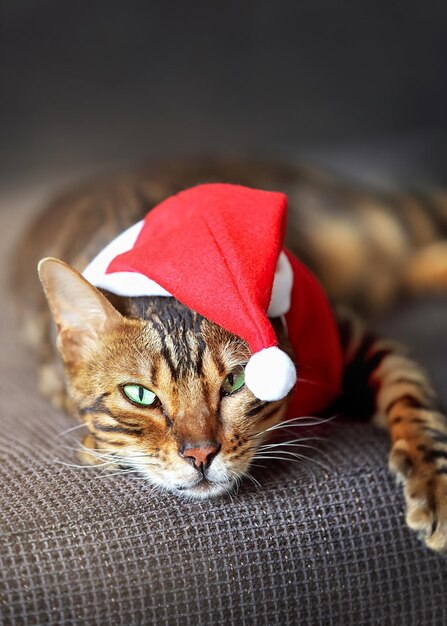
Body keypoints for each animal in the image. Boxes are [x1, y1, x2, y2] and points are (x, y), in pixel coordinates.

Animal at [11, 157, 447, 552]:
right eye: (140, 395)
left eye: (236, 382)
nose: (200, 455)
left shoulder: (347, 336)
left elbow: (409, 396)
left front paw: (435, 484)